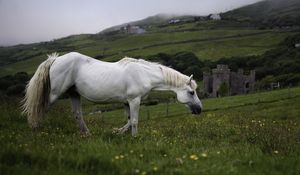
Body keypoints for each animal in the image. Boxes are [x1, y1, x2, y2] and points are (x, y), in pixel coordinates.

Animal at [22, 51, 203, 136]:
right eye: (191, 92)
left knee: (77, 114)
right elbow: (135, 121)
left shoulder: (126, 102)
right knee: (39, 108)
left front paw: (118, 132)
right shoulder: (134, 100)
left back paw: (87, 134)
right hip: (54, 94)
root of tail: (55, 59)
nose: (199, 109)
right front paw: (134, 138)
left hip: (73, 94)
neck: (144, 74)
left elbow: (129, 121)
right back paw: (36, 129)